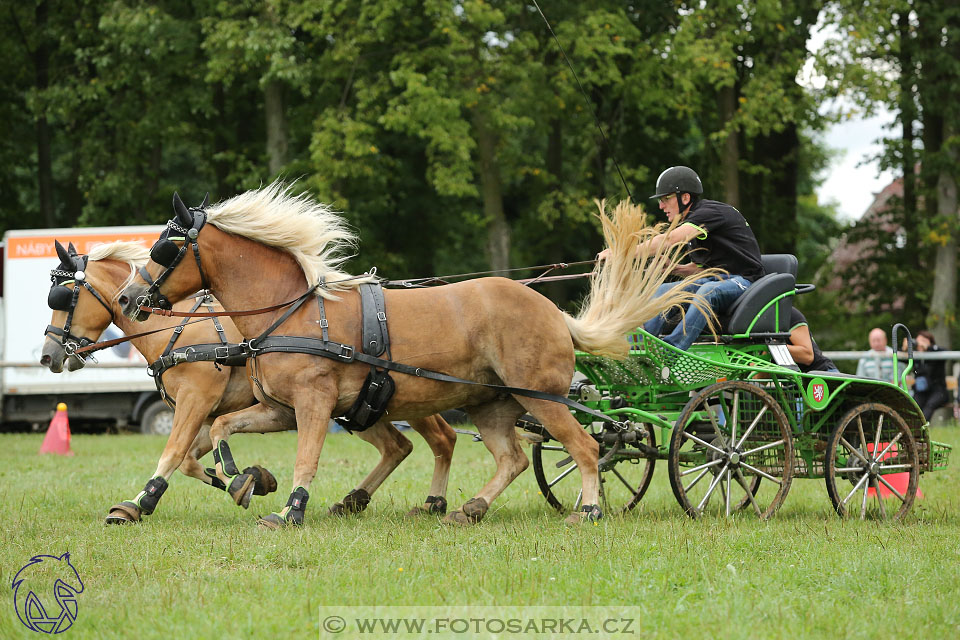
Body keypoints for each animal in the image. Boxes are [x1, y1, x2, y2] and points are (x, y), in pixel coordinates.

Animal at [45, 238, 462, 524]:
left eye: (63, 298)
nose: (49, 355)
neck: (178, 331)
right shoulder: (209, 413)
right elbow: (191, 460)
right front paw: (249, 481)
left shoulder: (196, 401)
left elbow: (174, 452)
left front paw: (140, 502)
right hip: (361, 407)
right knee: (397, 446)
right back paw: (355, 499)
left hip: (406, 398)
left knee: (441, 438)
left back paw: (432, 502)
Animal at [118, 182, 704, 528]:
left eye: (165, 247)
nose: (127, 297)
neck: (297, 312)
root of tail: (555, 313)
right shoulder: (279, 407)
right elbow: (220, 429)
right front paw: (244, 481)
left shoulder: (313, 403)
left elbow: (306, 457)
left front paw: (289, 510)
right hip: (490, 405)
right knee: (512, 458)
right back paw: (468, 508)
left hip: (545, 399)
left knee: (586, 447)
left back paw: (588, 508)